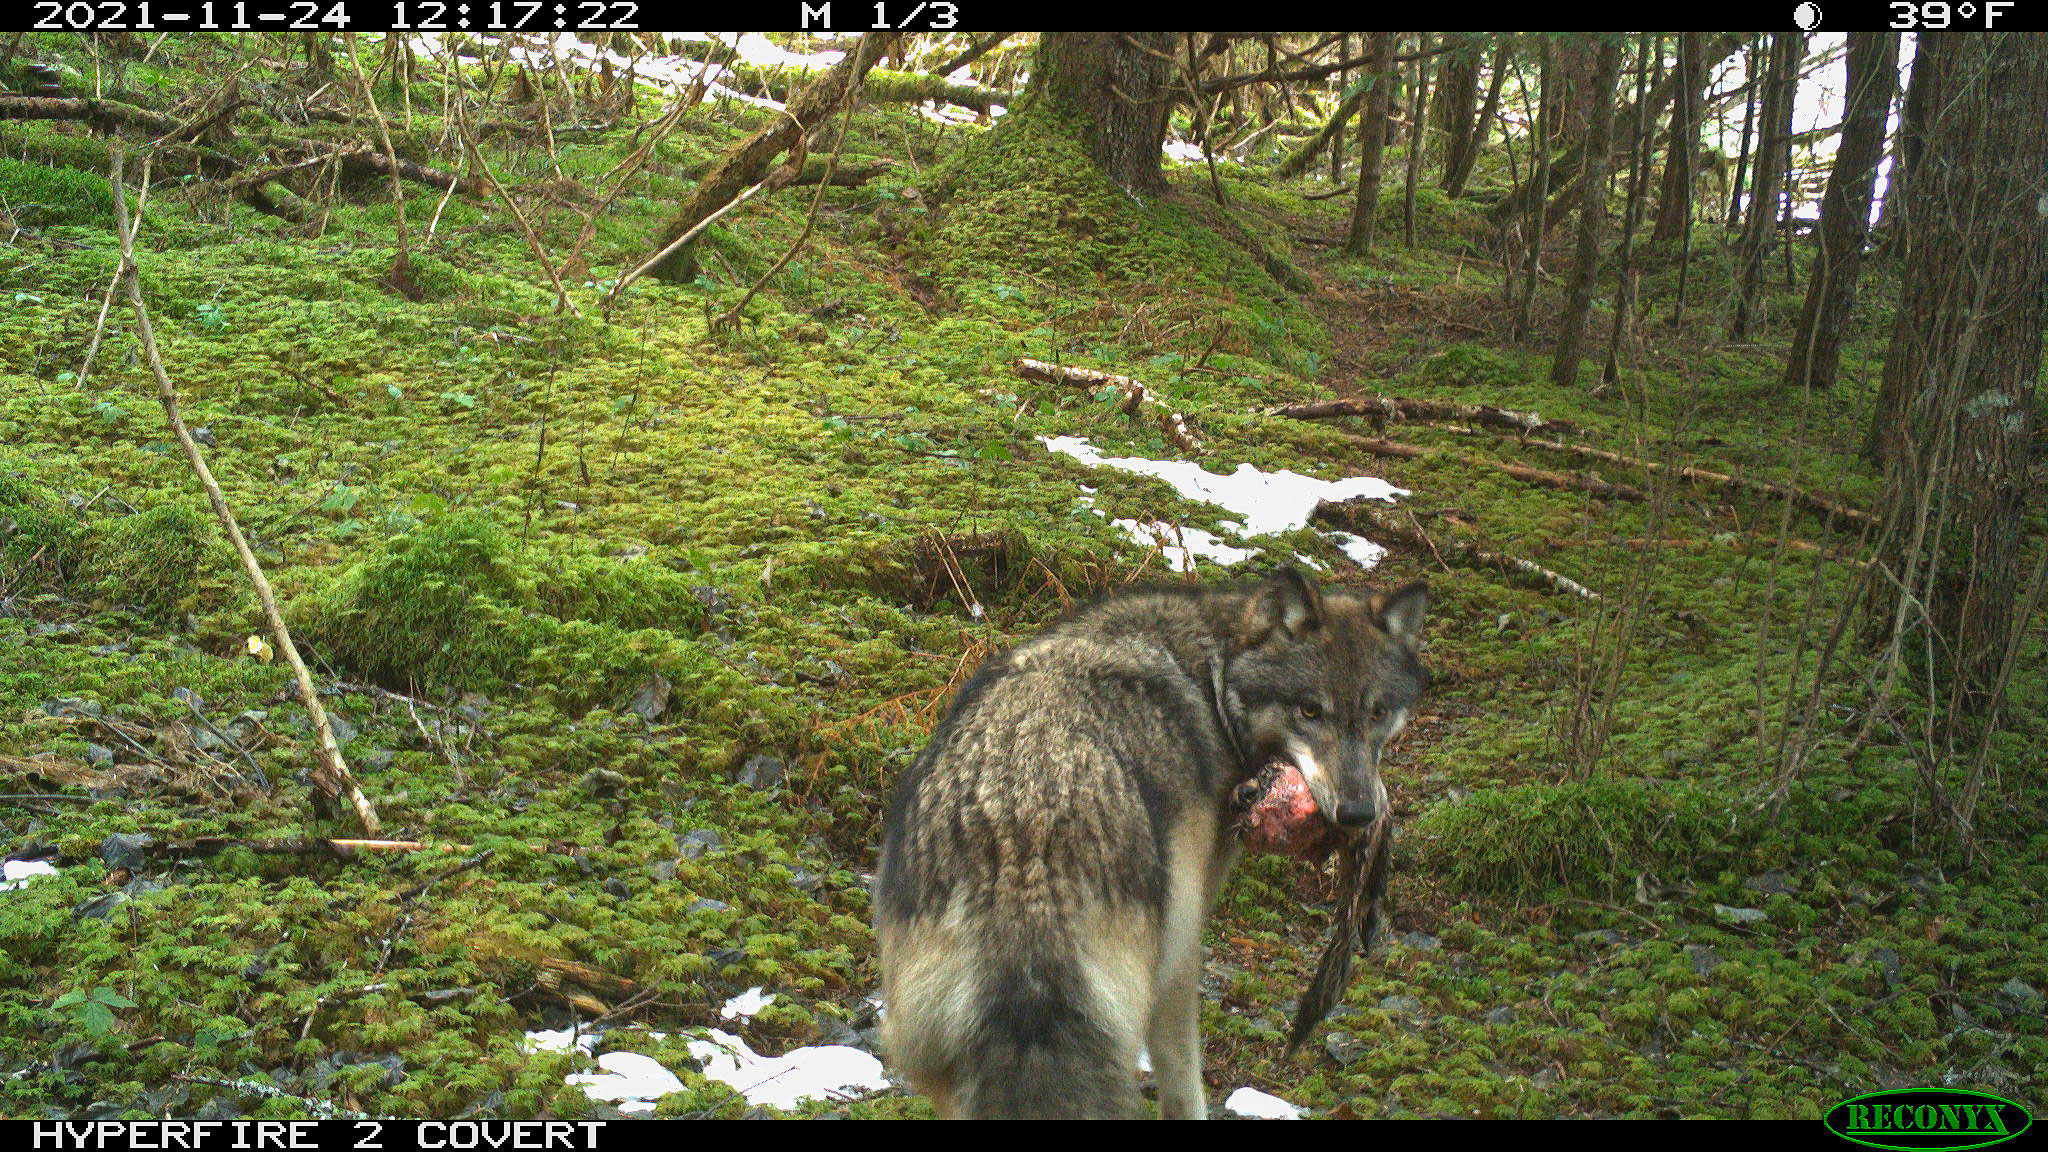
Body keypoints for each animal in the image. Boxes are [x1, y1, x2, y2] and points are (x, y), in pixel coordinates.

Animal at [873, 569, 1427, 1119]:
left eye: (1377, 713)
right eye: (1310, 710)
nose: (1359, 812)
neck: (1217, 674)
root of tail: (1021, 849)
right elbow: (1182, 1081)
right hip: (1164, 958)